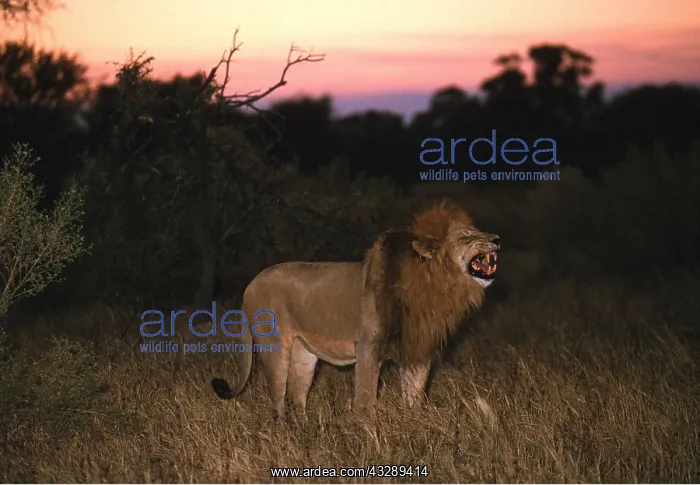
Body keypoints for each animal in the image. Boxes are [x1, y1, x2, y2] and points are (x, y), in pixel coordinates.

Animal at [211, 201, 499, 420]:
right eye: (468, 236)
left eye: (479, 231)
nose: (497, 239)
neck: (436, 285)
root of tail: (250, 284)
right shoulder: (368, 348)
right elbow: (365, 402)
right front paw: (370, 441)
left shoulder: (417, 350)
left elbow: (415, 399)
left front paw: (416, 430)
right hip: (275, 348)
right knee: (278, 401)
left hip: (304, 353)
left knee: (297, 396)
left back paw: (304, 433)